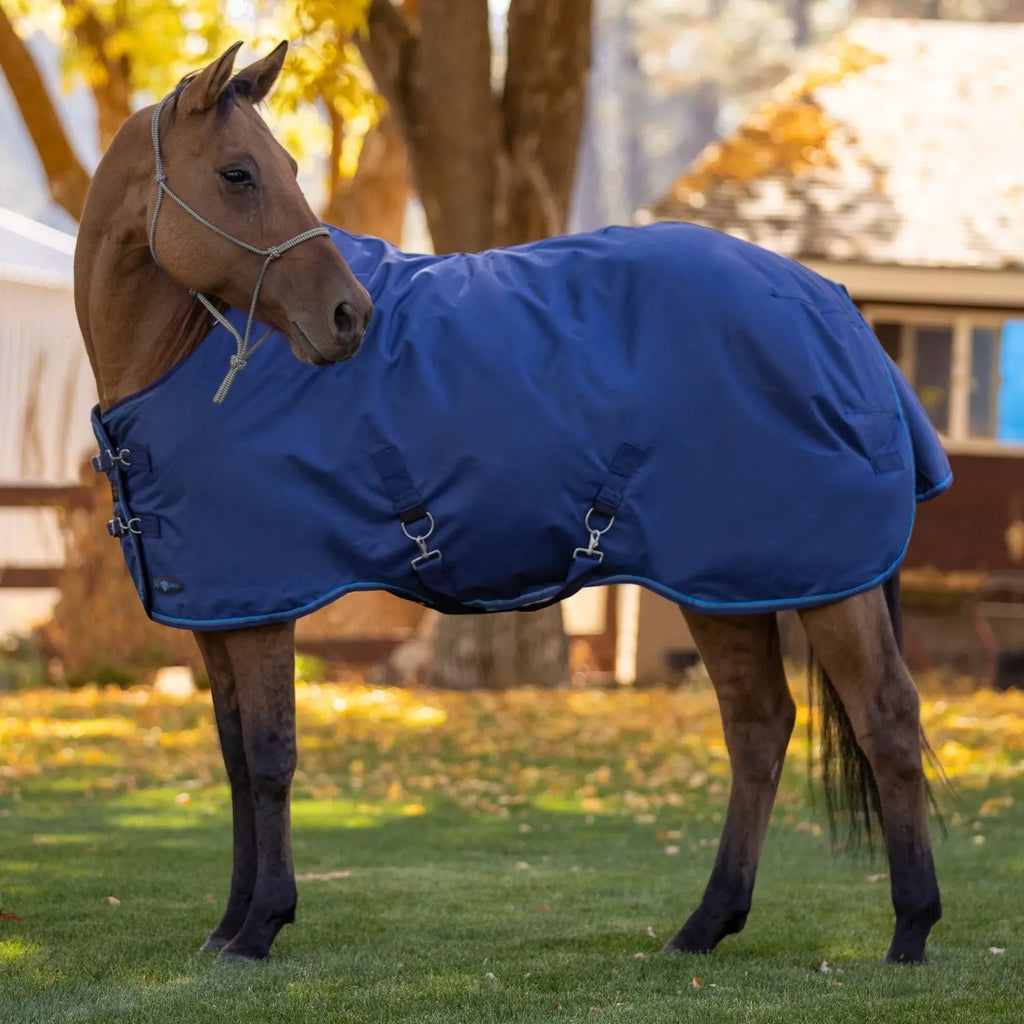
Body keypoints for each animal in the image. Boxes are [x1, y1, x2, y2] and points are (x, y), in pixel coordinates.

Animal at [74, 42, 948, 964]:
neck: (182, 367)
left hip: (826, 582)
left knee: (886, 719)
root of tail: (834, 304)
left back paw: (910, 928)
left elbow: (272, 756)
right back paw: (707, 924)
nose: (348, 316)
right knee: (757, 726)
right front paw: (229, 926)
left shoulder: (265, 605)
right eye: (238, 173)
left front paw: (262, 924)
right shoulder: (218, 611)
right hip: (727, 583)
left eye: (286, 169)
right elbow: (237, 758)